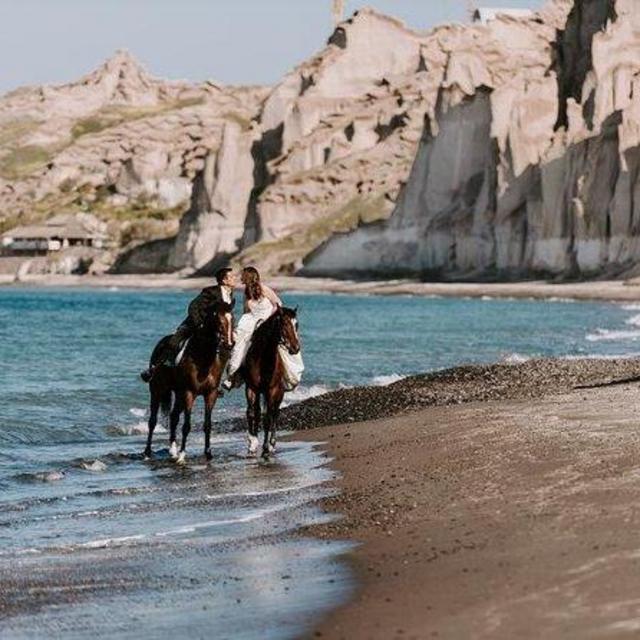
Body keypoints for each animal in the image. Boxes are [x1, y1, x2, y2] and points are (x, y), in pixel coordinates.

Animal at [144, 302, 234, 463]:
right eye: (218, 320)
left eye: (232, 319)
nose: (229, 344)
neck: (204, 357)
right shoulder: (189, 393)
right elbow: (186, 425)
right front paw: (182, 456)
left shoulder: (210, 394)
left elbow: (207, 425)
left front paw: (208, 454)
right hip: (157, 390)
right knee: (153, 421)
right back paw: (148, 453)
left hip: (179, 394)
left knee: (173, 417)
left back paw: (172, 450)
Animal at [241, 306, 301, 460]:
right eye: (284, 324)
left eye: (296, 325)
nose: (295, 348)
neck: (263, 358)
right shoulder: (252, 388)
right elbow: (252, 413)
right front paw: (252, 445)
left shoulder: (272, 390)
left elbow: (268, 418)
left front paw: (266, 448)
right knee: (258, 411)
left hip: (278, 392)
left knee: (275, 413)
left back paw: (272, 445)